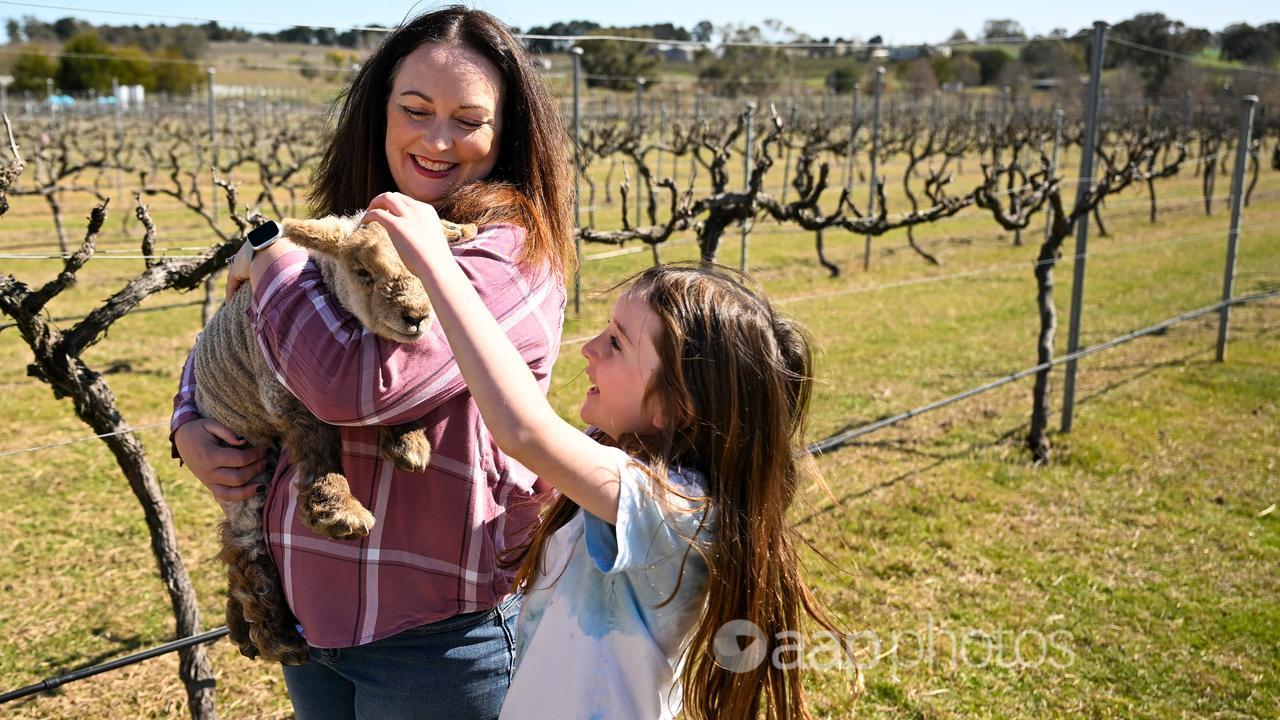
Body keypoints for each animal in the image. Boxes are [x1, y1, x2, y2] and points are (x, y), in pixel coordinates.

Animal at [197, 213, 478, 661]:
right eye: (363, 272)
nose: (416, 316)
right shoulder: (283, 394)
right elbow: (318, 449)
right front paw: (340, 511)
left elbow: (384, 395)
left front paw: (407, 441)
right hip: (240, 455)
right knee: (245, 546)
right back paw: (276, 637)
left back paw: (242, 628)